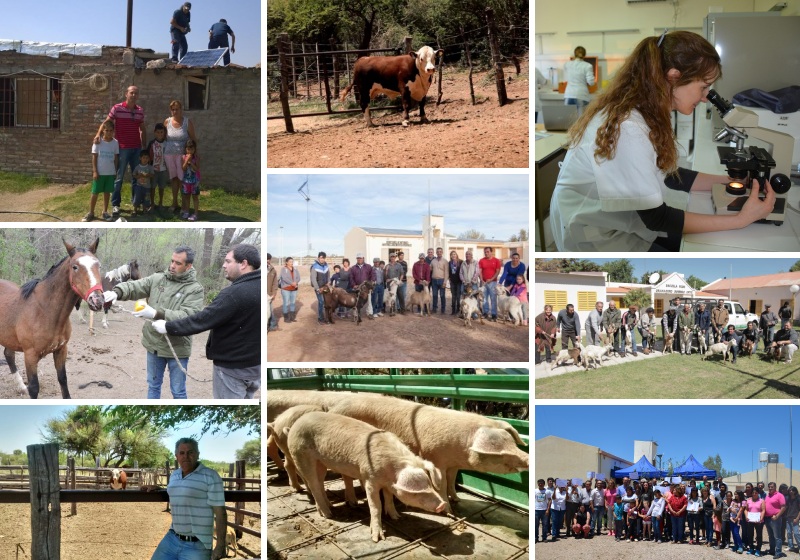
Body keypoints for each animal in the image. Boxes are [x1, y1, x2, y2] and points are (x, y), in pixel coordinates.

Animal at [0, 238, 104, 400]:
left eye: (98, 265)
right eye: (75, 267)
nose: (97, 300)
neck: (45, 311)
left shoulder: (61, 350)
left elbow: (63, 380)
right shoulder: (30, 356)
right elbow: (34, 388)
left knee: (9, 355)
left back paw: (21, 387)